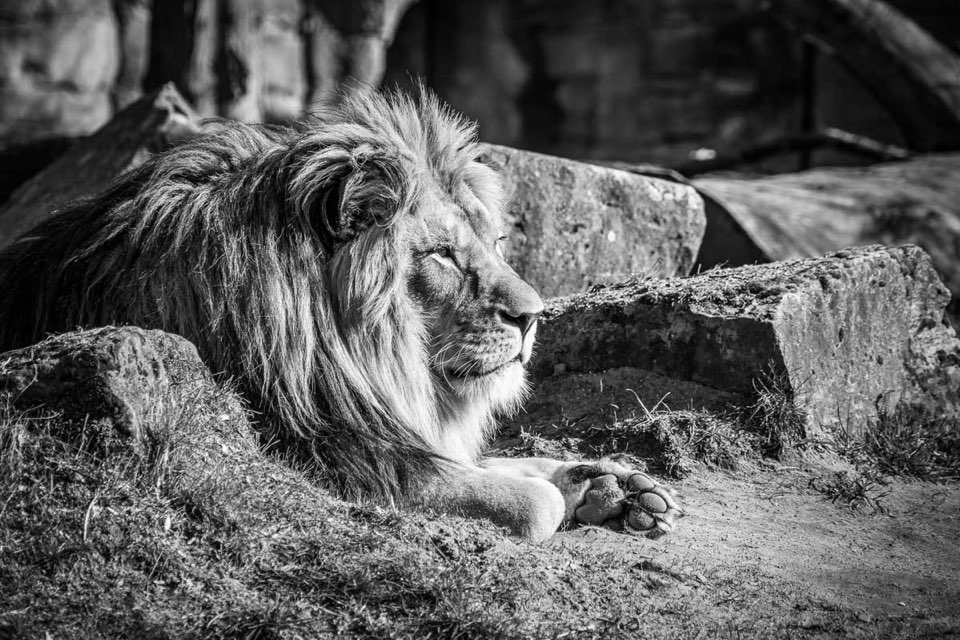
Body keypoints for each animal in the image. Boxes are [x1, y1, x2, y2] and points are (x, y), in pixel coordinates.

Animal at [0, 88, 682, 541]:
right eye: (440, 253)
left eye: (496, 244)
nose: (534, 316)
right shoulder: (328, 454)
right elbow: (530, 501)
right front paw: (569, 493)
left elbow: (498, 463)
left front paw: (609, 485)